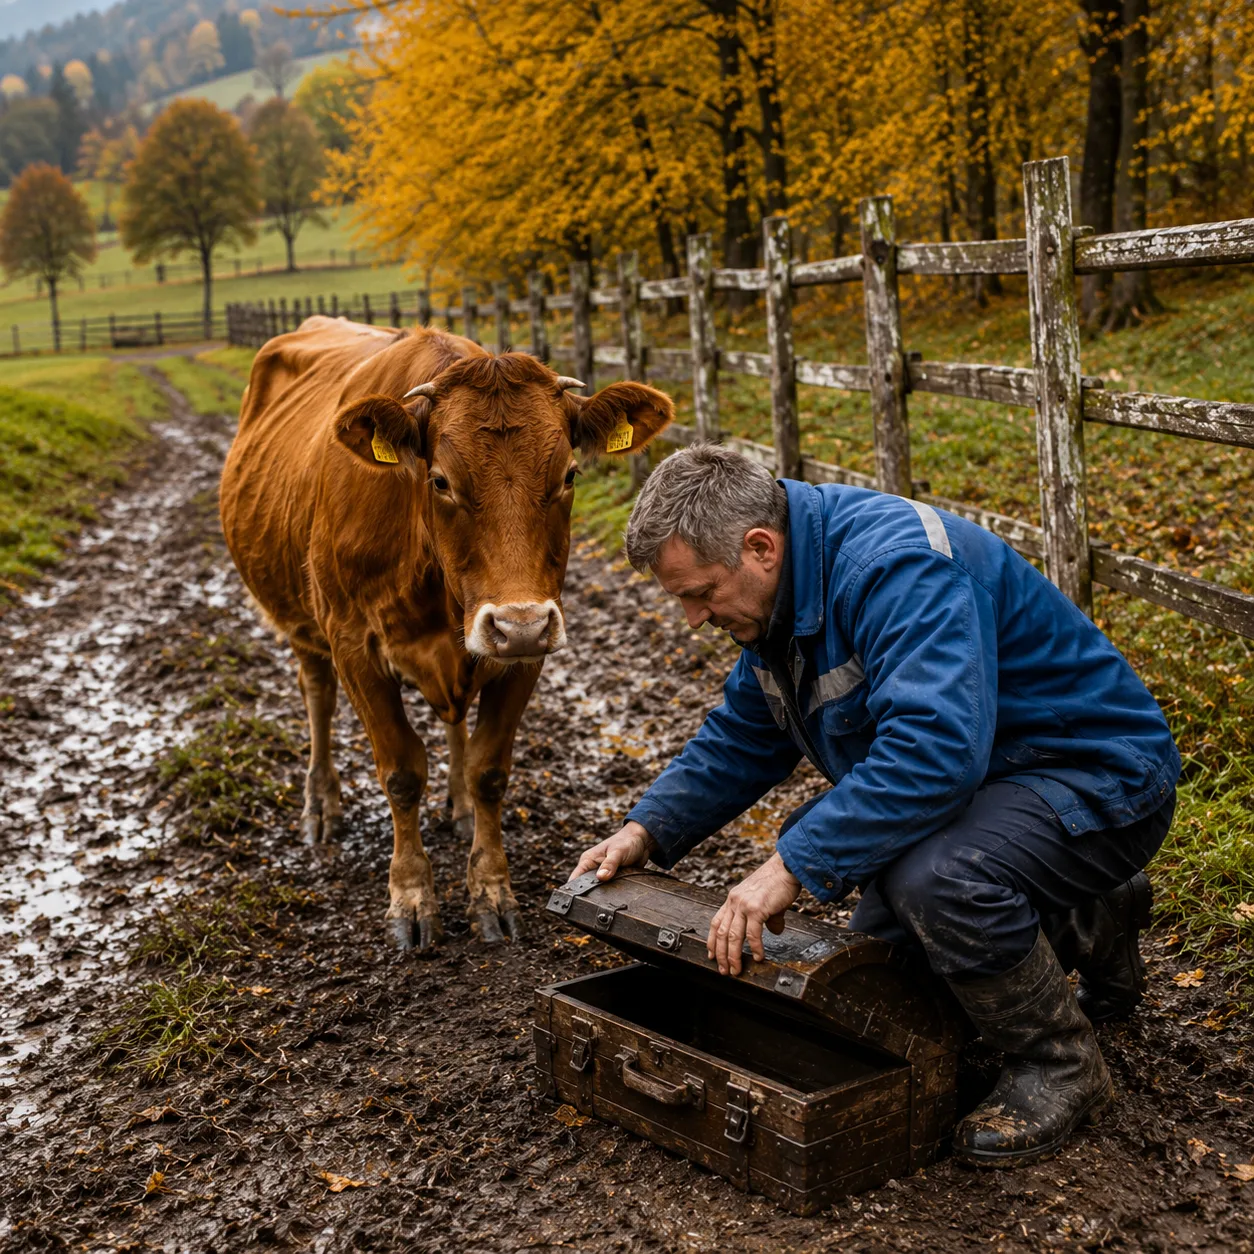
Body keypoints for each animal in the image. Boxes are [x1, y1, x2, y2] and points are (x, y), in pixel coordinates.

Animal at [219, 317, 673, 950]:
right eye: (440, 481)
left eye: (569, 475)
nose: (518, 623)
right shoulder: (354, 647)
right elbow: (402, 772)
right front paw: (411, 897)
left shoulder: (526, 653)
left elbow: (489, 770)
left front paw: (491, 889)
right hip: (302, 624)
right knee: (317, 696)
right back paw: (321, 805)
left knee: (455, 720)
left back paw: (456, 806)